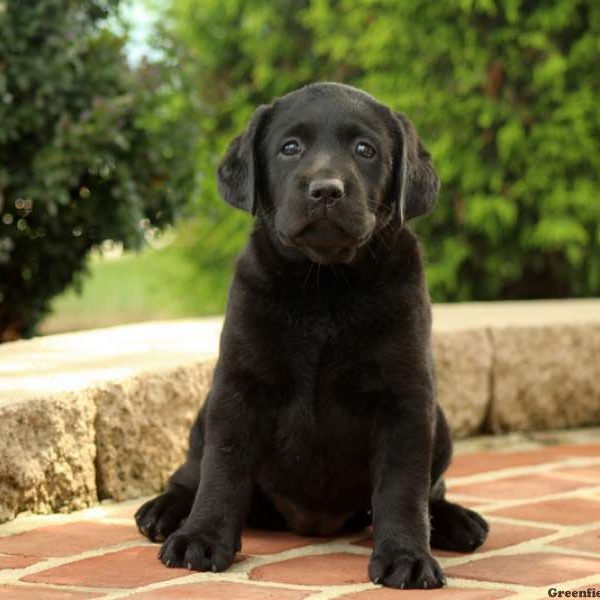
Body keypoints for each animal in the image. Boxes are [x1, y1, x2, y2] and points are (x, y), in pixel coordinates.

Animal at [136, 82, 488, 588]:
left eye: (365, 150)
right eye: (290, 148)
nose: (326, 190)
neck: (325, 288)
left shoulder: (406, 399)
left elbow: (403, 487)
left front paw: (406, 556)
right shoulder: (239, 387)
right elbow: (222, 469)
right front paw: (201, 537)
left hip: (438, 423)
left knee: (431, 490)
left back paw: (455, 520)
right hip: (205, 412)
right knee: (191, 473)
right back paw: (166, 510)